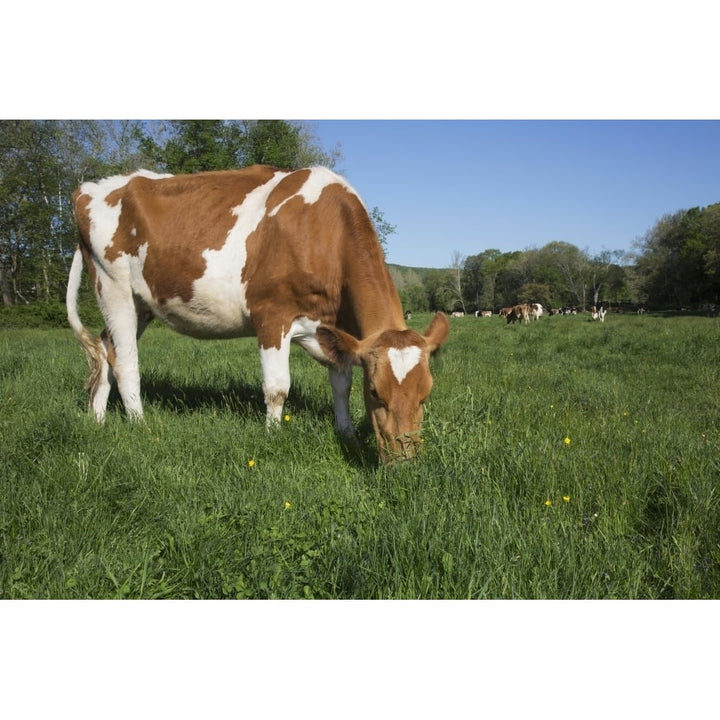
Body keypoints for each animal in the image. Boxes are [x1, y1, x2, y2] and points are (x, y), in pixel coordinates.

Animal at [67, 166, 450, 464]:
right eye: (375, 392)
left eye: (427, 393)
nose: (404, 461)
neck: (323, 231)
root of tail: (89, 188)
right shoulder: (272, 314)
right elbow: (277, 388)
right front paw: (273, 436)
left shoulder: (333, 328)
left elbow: (341, 385)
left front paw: (347, 435)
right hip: (113, 287)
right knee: (126, 361)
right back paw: (140, 424)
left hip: (140, 304)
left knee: (107, 350)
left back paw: (97, 419)